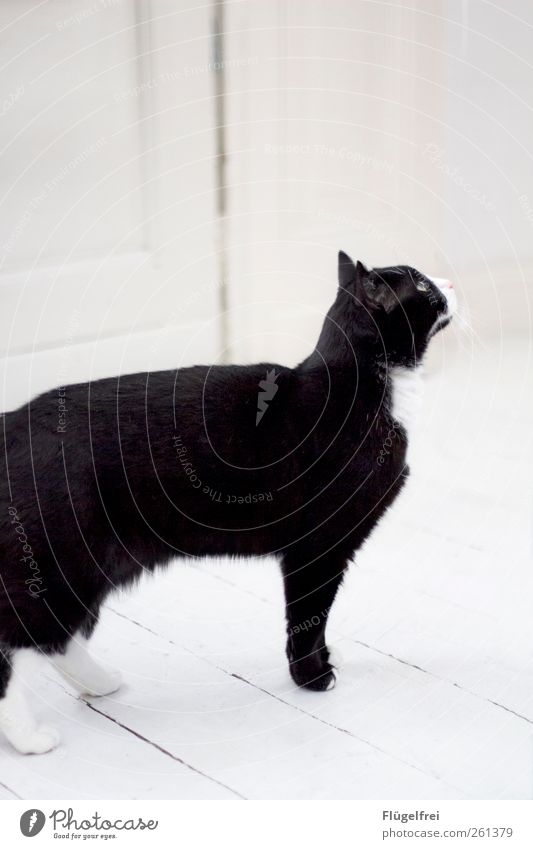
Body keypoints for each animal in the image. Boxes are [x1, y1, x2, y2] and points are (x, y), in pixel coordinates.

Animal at [1, 252, 458, 756]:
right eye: (421, 284)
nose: (452, 281)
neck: (365, 388)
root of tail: (9, 425)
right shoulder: (317, 548)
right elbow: (309, 615)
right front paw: (313, 677)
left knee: (58, 639)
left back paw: (101, 683)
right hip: (57, 560)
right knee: (19, 644)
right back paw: (28, 737)